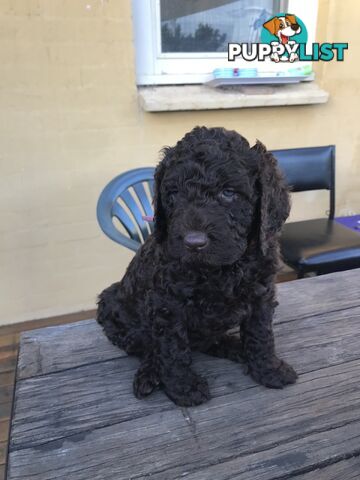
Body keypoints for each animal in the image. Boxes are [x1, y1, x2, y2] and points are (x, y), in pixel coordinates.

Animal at [97, 126, 298, 404]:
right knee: (147, 346)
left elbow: (261, 334)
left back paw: (234, 347)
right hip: (113, 306)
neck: (222, 269)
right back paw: (150, 374)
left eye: (228, 193)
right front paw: (184, 387)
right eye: (173, 194)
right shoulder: (167, 303)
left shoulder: (261, 294)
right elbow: (172, 348)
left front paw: (268, 369)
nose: (193, 243)